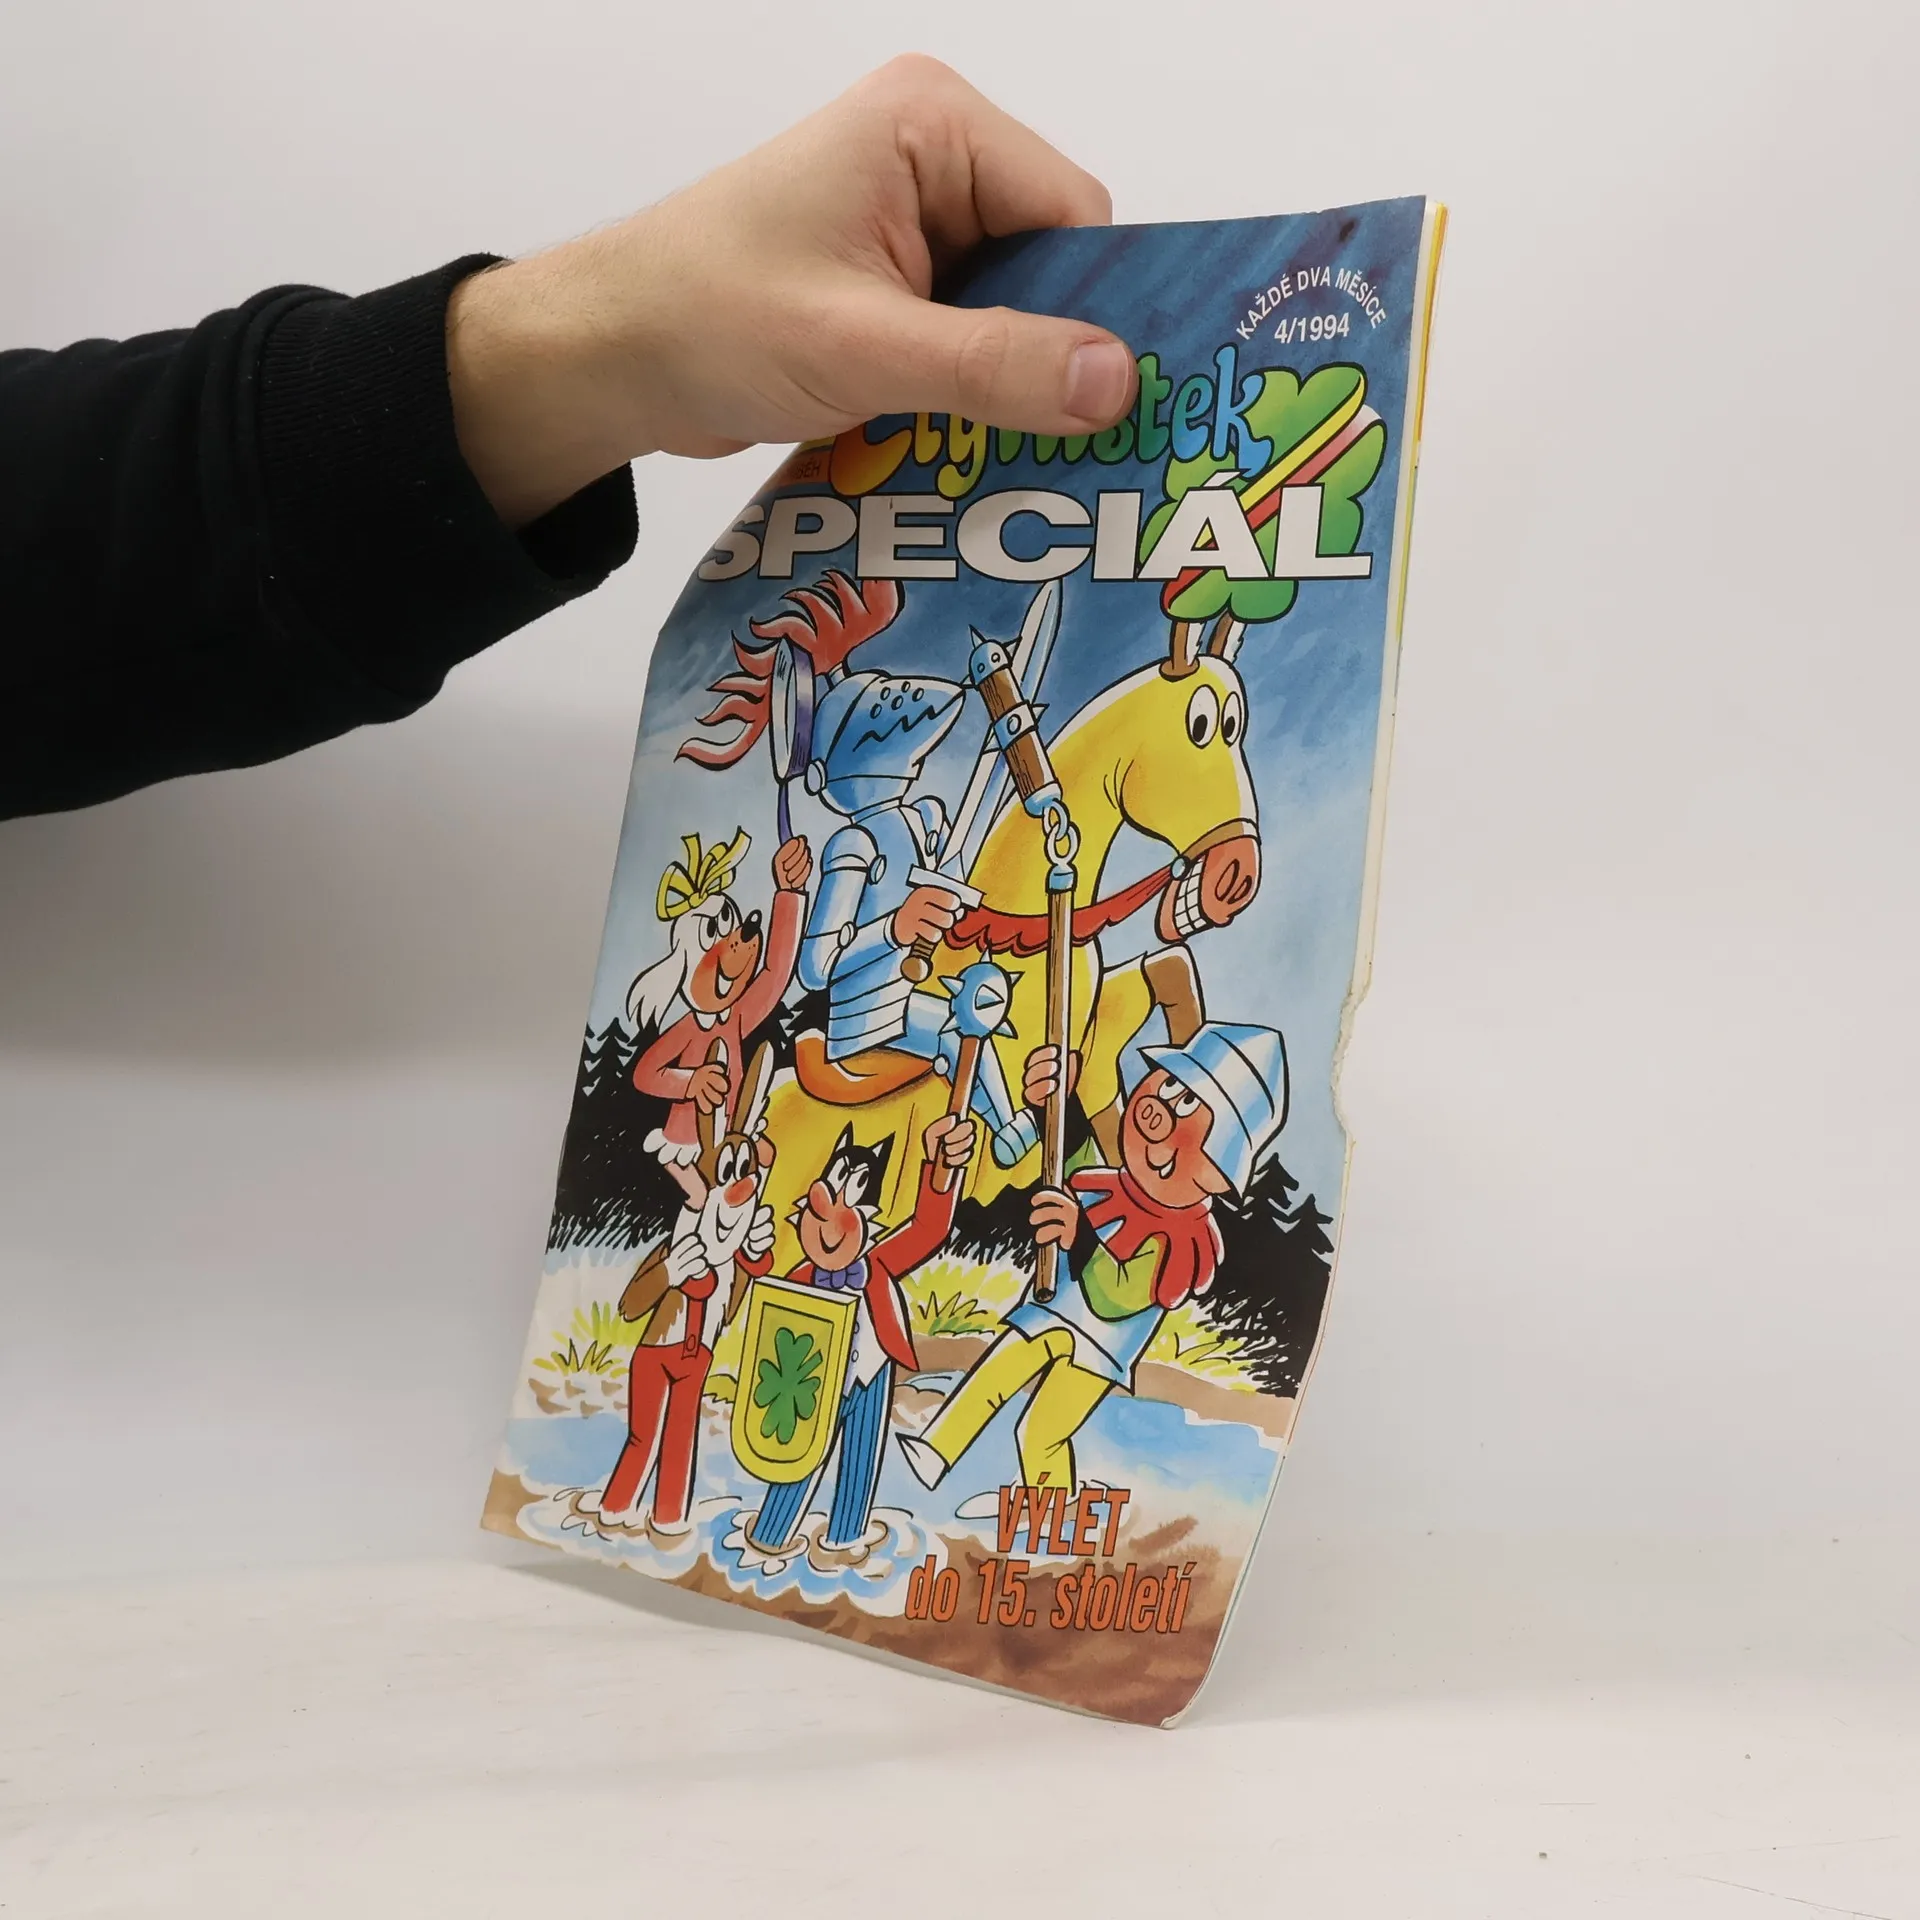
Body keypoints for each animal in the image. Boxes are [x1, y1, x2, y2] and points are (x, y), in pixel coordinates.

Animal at [754, 612, 1261, 1266]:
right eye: (1203, 727)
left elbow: (1155, 977)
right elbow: (823, 959)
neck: (1028, 924)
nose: (1236, 878)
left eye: (1235, 723)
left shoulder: (1090, 1008)